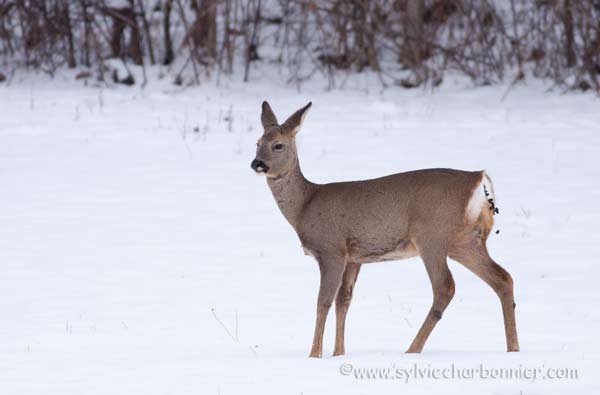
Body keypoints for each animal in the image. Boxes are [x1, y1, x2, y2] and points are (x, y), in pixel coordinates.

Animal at [251, 100, 516, 358]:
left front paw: (314, 355)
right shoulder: (354, 258)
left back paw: (412, 350)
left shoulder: (331, 249)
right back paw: (513, 349)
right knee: (503, 278)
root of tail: (479, 180)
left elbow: (323, 302)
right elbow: (343, 302)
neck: (305, 205)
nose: (256, 163)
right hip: (466, 241)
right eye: (257, 143)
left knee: (445, 286)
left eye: (278, 145)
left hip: (432, 234)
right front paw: (338, 354)